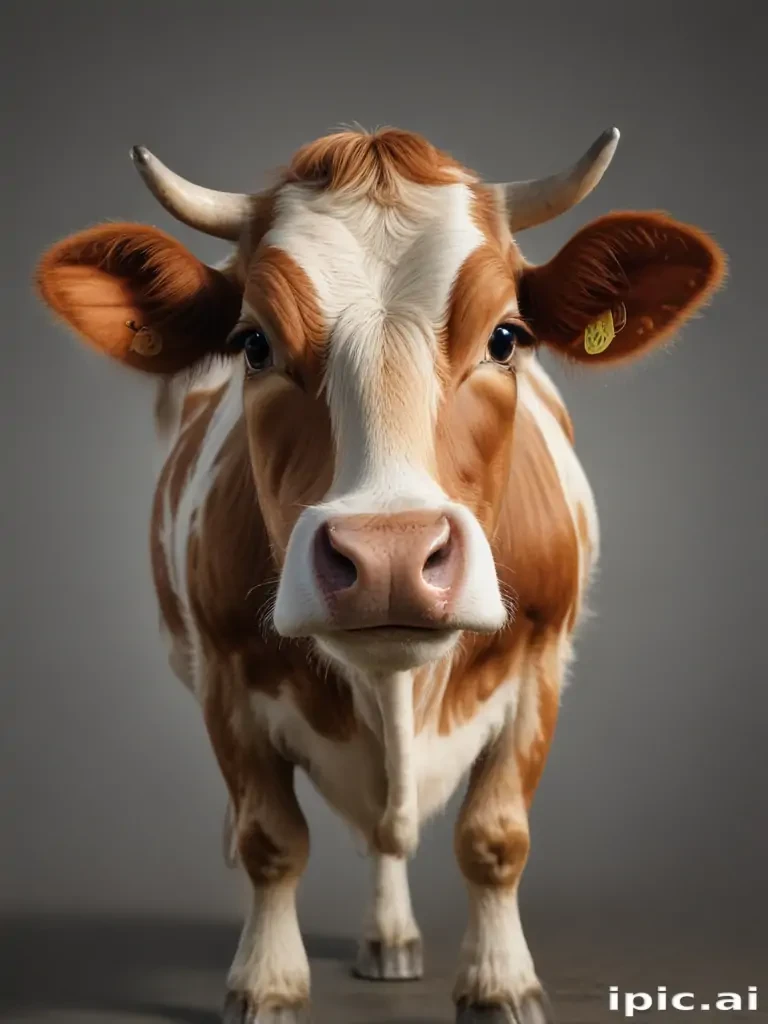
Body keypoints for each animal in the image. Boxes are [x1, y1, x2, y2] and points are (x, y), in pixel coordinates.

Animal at [36, 125, 725, 1024]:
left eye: (506, 337)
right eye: (254, 343)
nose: (391, 554)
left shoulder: (542, 661)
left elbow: (496, 838)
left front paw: (501, 982)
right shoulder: (224, 675)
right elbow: (269, 840)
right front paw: (266, 981)